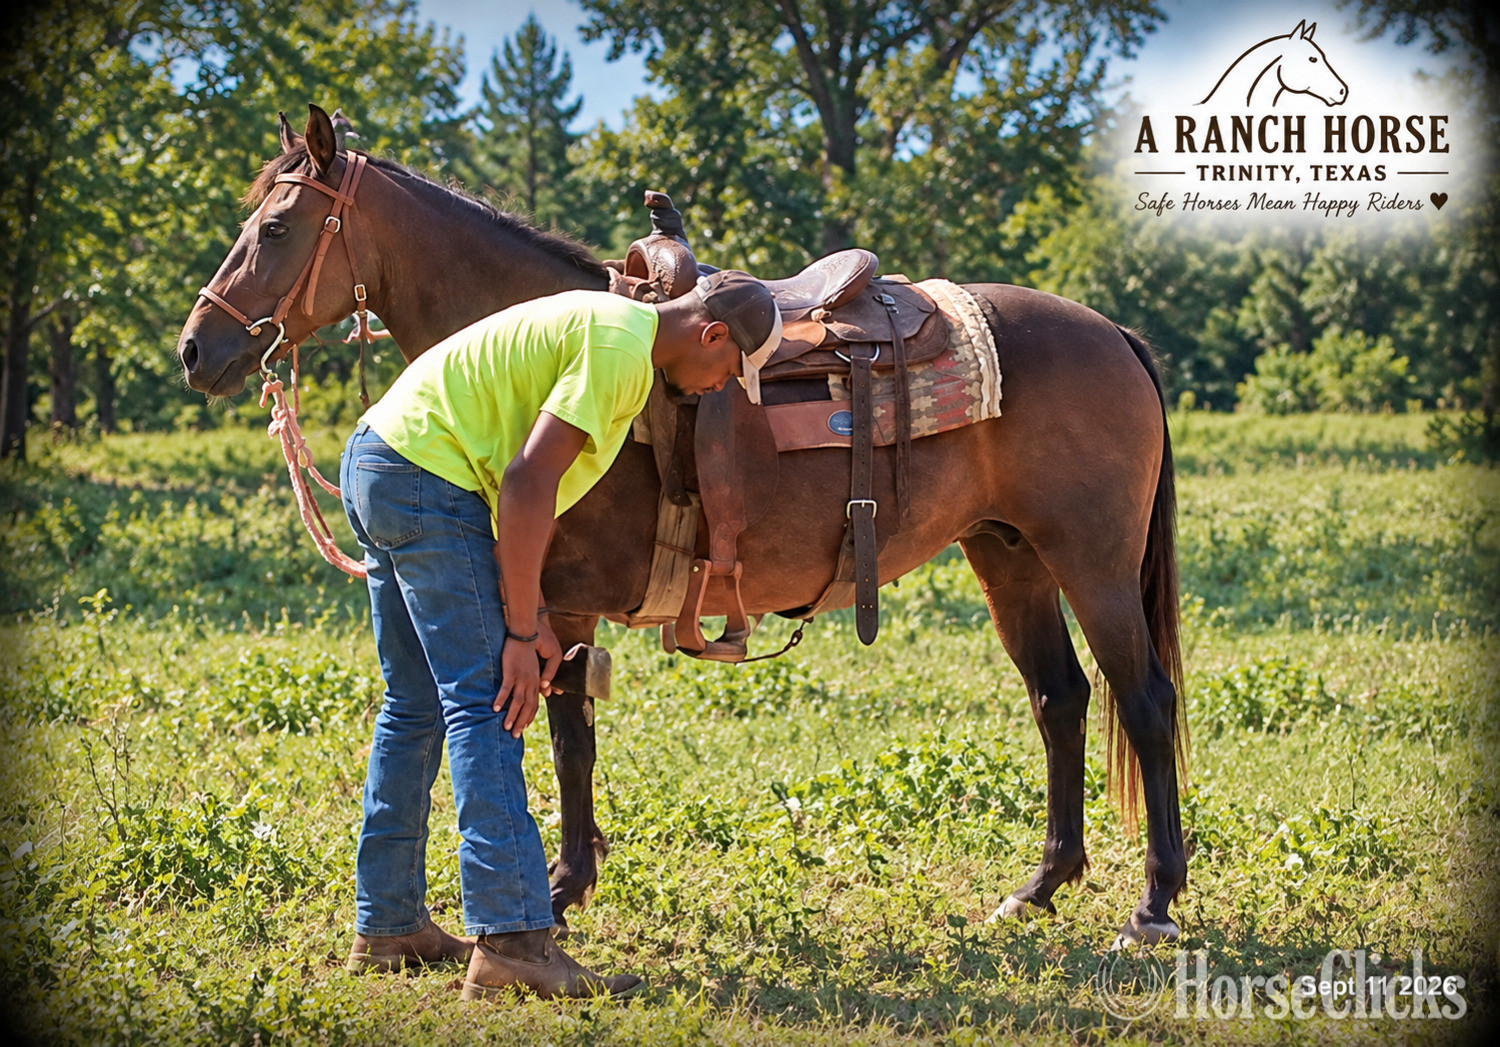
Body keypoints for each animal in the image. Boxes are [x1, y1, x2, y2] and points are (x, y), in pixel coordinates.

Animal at [176, 105, 1188, 948]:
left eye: (274, 229)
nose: (195, 348)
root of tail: (1115, 333)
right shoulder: (554, 602)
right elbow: (571, 731)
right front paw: (571, 881)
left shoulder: (557, 598)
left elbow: (564, 732)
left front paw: (560, 886)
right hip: (1009, 557)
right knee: (1060, 698)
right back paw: (1041, 886)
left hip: (1094, 565)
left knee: (1144, 701)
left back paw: (1153, 903)